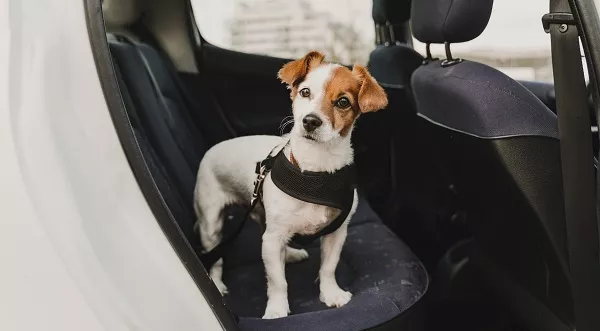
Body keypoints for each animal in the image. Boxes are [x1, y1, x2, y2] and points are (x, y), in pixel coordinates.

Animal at [195, 51, 386, 320]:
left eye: (343, 102)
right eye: (305, 92)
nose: (310, 121)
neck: (315, 172)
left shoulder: (336, 233)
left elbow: (328, 267)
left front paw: (331, 294)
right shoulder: (273, 238)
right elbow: (278, 282)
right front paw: (276, 309)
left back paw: (290, 254)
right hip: (211, 224)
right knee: (216, 257)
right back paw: (218, 284)